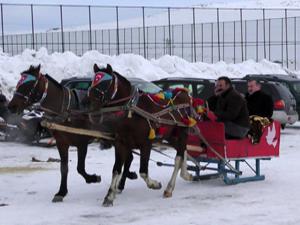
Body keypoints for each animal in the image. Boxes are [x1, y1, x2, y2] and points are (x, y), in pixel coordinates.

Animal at [6, 64, 135, 202]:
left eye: (28, 84)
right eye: (18, 84)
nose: (11, 106)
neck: (66, 111)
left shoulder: (82, 143)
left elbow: (80, 168)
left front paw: (93, 178)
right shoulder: (61, 143)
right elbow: (64, 168)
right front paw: (61, 192)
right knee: (129, 157)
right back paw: (124, 180)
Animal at [88, 64, 193, 207]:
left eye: (105, 83)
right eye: (93, 81)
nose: (89, 104)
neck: (131, 112)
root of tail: (183, 92)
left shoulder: (146, 143)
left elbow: (143, 171)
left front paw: (155, 184)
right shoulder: (120, 144)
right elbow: (116, 169)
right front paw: (109, 196)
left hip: (182, 131)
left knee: (179, 157)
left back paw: (169, 188)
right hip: (170, 135)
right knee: (182, 150)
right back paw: (186, 174)